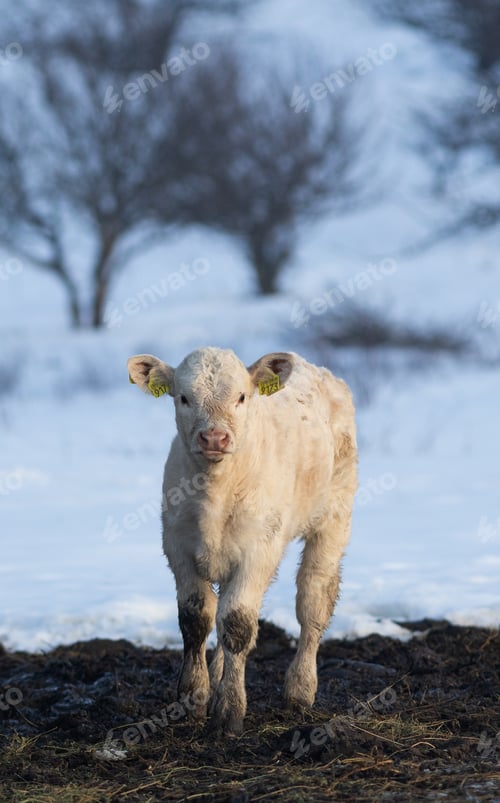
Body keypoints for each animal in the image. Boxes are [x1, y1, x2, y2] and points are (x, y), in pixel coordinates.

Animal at [127, 347, 357, 735]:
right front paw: (193, 699)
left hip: (334, 517)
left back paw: (300, 691)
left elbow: (237, 623)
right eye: (183, 397)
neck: (216, 493)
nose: (214, 438)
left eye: (241, 397)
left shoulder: (258, 550)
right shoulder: (177, 546)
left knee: (313, 602)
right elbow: (196, 619)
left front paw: (229, 712)